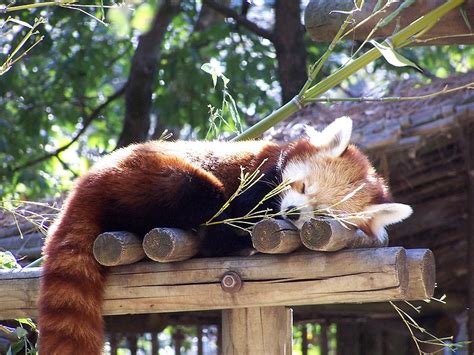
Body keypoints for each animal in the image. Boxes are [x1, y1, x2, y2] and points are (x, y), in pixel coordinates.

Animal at [37, 117, 412, 354]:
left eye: (322, 213)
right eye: (303, 186)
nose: (291, 213)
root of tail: (87, 184)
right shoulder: (259, 177)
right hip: (151, 176)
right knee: (199, 201)